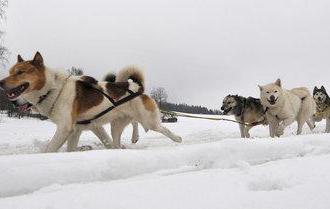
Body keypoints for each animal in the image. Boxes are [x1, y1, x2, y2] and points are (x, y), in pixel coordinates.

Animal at [0, 52, 182, 153]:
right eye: (10, 72)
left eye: (20, 72)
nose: (1, 82)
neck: (52, 89)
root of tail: (137, 87)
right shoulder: (76, 130)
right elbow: (71, 149)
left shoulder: (65, 128)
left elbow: (50, 149)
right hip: (116, 126)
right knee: (121, 137)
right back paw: (129, 141)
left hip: (149, 121)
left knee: (162, 128)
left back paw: (177, 139)